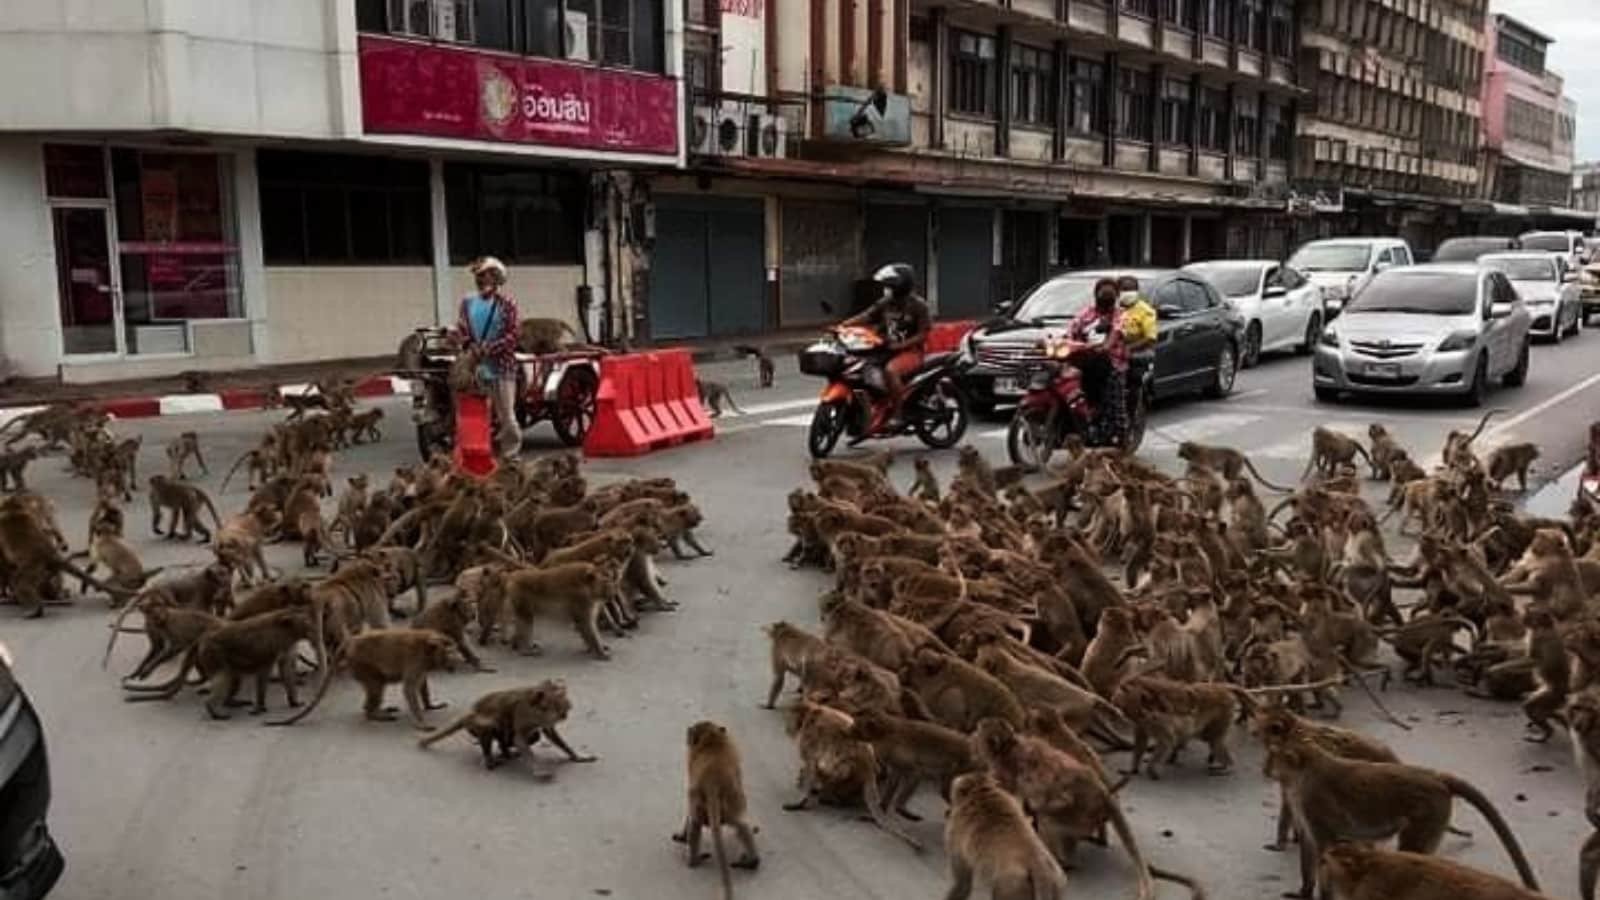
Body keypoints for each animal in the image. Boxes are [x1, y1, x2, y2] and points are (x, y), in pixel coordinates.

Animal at [269, 628, 462, 728]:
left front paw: (430, 705)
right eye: (450, 650)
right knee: (377, 684)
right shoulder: (416, 659)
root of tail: (351, 641)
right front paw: (422, 722)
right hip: (360, 663)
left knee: (377, 685)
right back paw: (372, 713)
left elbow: (421, 684)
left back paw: (375, 710)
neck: (428, 647)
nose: (457, 656)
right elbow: (409, 688)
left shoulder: (423, 664)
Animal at [418, 681, 595, 778]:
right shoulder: (524, 713)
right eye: (557, 706)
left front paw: (576, 756)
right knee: (489, 725)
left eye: (564, 704)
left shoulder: (544, 720)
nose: (564, 714)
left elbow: (549, 733)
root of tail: (468, 713)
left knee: (530, 735)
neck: (536, 709)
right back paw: (490, 759)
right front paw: (538, 769)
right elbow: (520, 738)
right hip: (474, 723)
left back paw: (506, 751)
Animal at [672, 721, 760, 899]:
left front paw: (682, 837)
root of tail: (713, 782)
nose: (687, 736)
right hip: (733, 801)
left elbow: (690, 813)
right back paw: (752, 862)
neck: (712, 738)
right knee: (741, 824)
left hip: (711, 800)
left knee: (695, 821)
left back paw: (694, 861)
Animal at [942, 771, 1068, 900]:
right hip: (1056, 882)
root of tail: (1040, 868)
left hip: (1011, 885)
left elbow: (962, 882)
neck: (982, 792)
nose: (949, 809)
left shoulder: (955, 831)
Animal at [1263, 730, 1541, 898]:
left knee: (1413, 851)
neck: (1304, 772)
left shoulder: (1313, 804)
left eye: (1273, 758)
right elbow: (1309, 847)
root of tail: (1436, 778)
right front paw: (1304, 890)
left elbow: (1323, 850)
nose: (1264, 769)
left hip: (1429, 813)